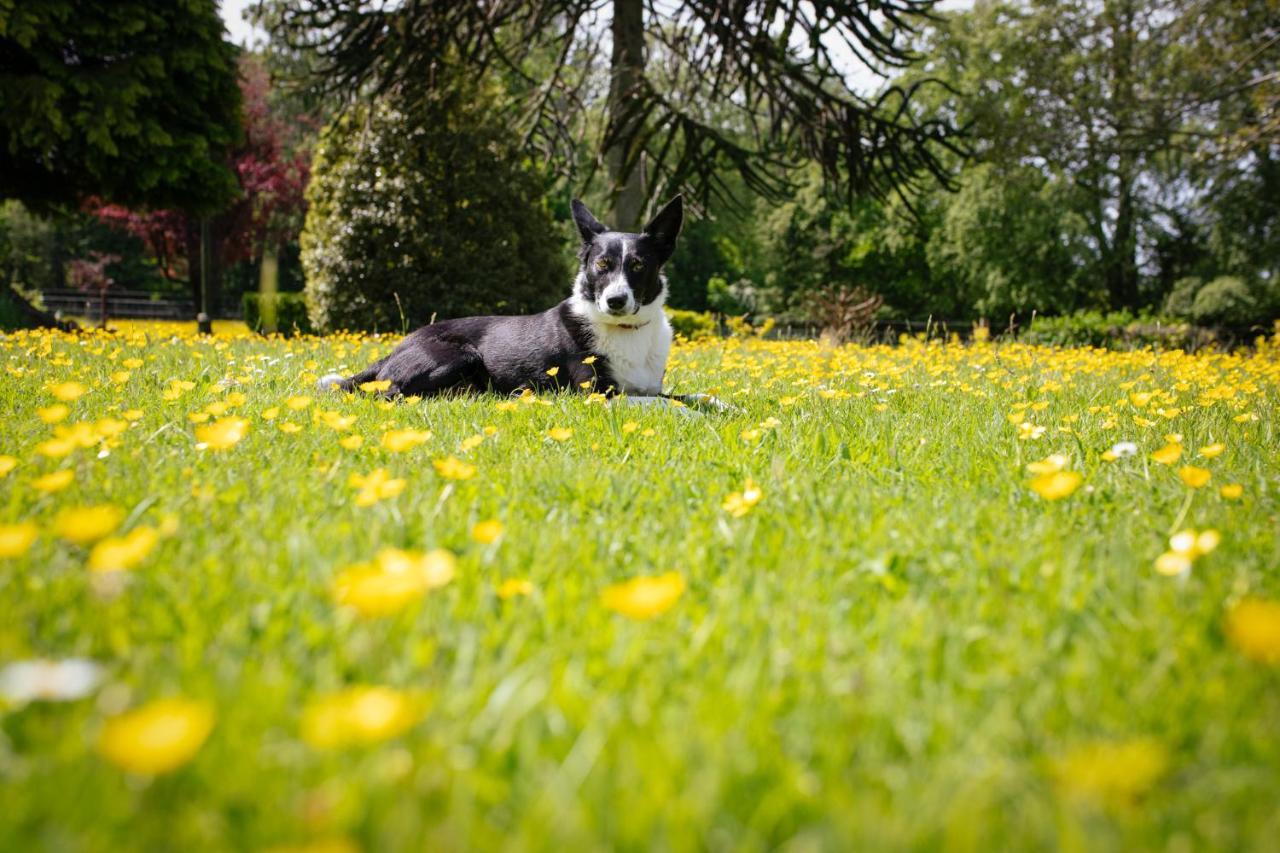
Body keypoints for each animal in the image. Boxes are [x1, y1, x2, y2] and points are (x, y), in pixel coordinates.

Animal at [320, 195, 680, 399]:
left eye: (637, 265)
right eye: (602, 265)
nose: (615, 301)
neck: (626, 331)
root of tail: (395, 350)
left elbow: (684, 398)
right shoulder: (597, 393)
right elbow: (662, 405)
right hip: (461, 356)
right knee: (390, 394)